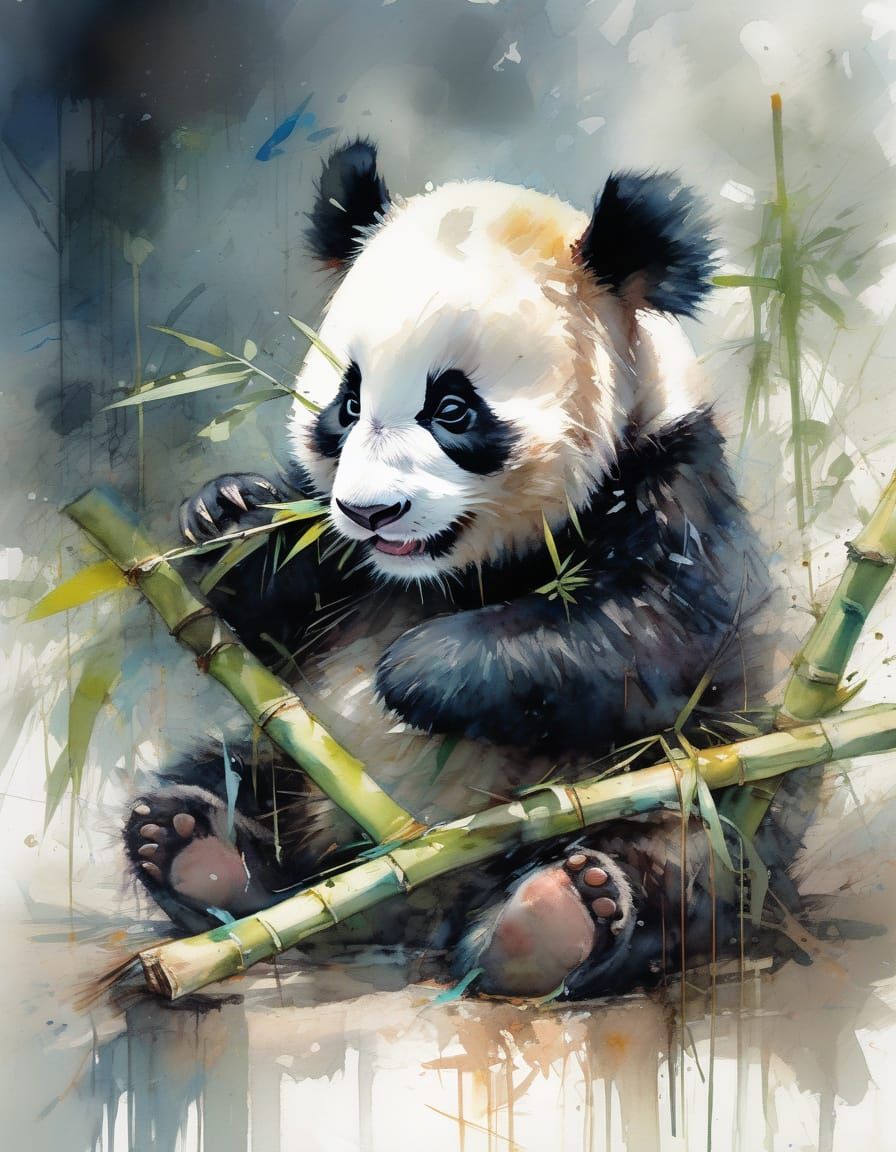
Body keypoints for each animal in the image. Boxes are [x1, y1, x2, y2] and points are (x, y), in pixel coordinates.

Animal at [125, 141, 807, 999]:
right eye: (348, 404)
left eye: (452, 409)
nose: (373, 513)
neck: (451, 572)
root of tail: (413, 897)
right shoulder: (344, 561)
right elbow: (278, 606)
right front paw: (228, 515)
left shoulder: (671, 476)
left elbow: (659, 632)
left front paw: (421, 668)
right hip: (298, 767)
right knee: (232, 778)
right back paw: (194, 849)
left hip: (691, 780)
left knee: (694, 848)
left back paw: (556, 917)